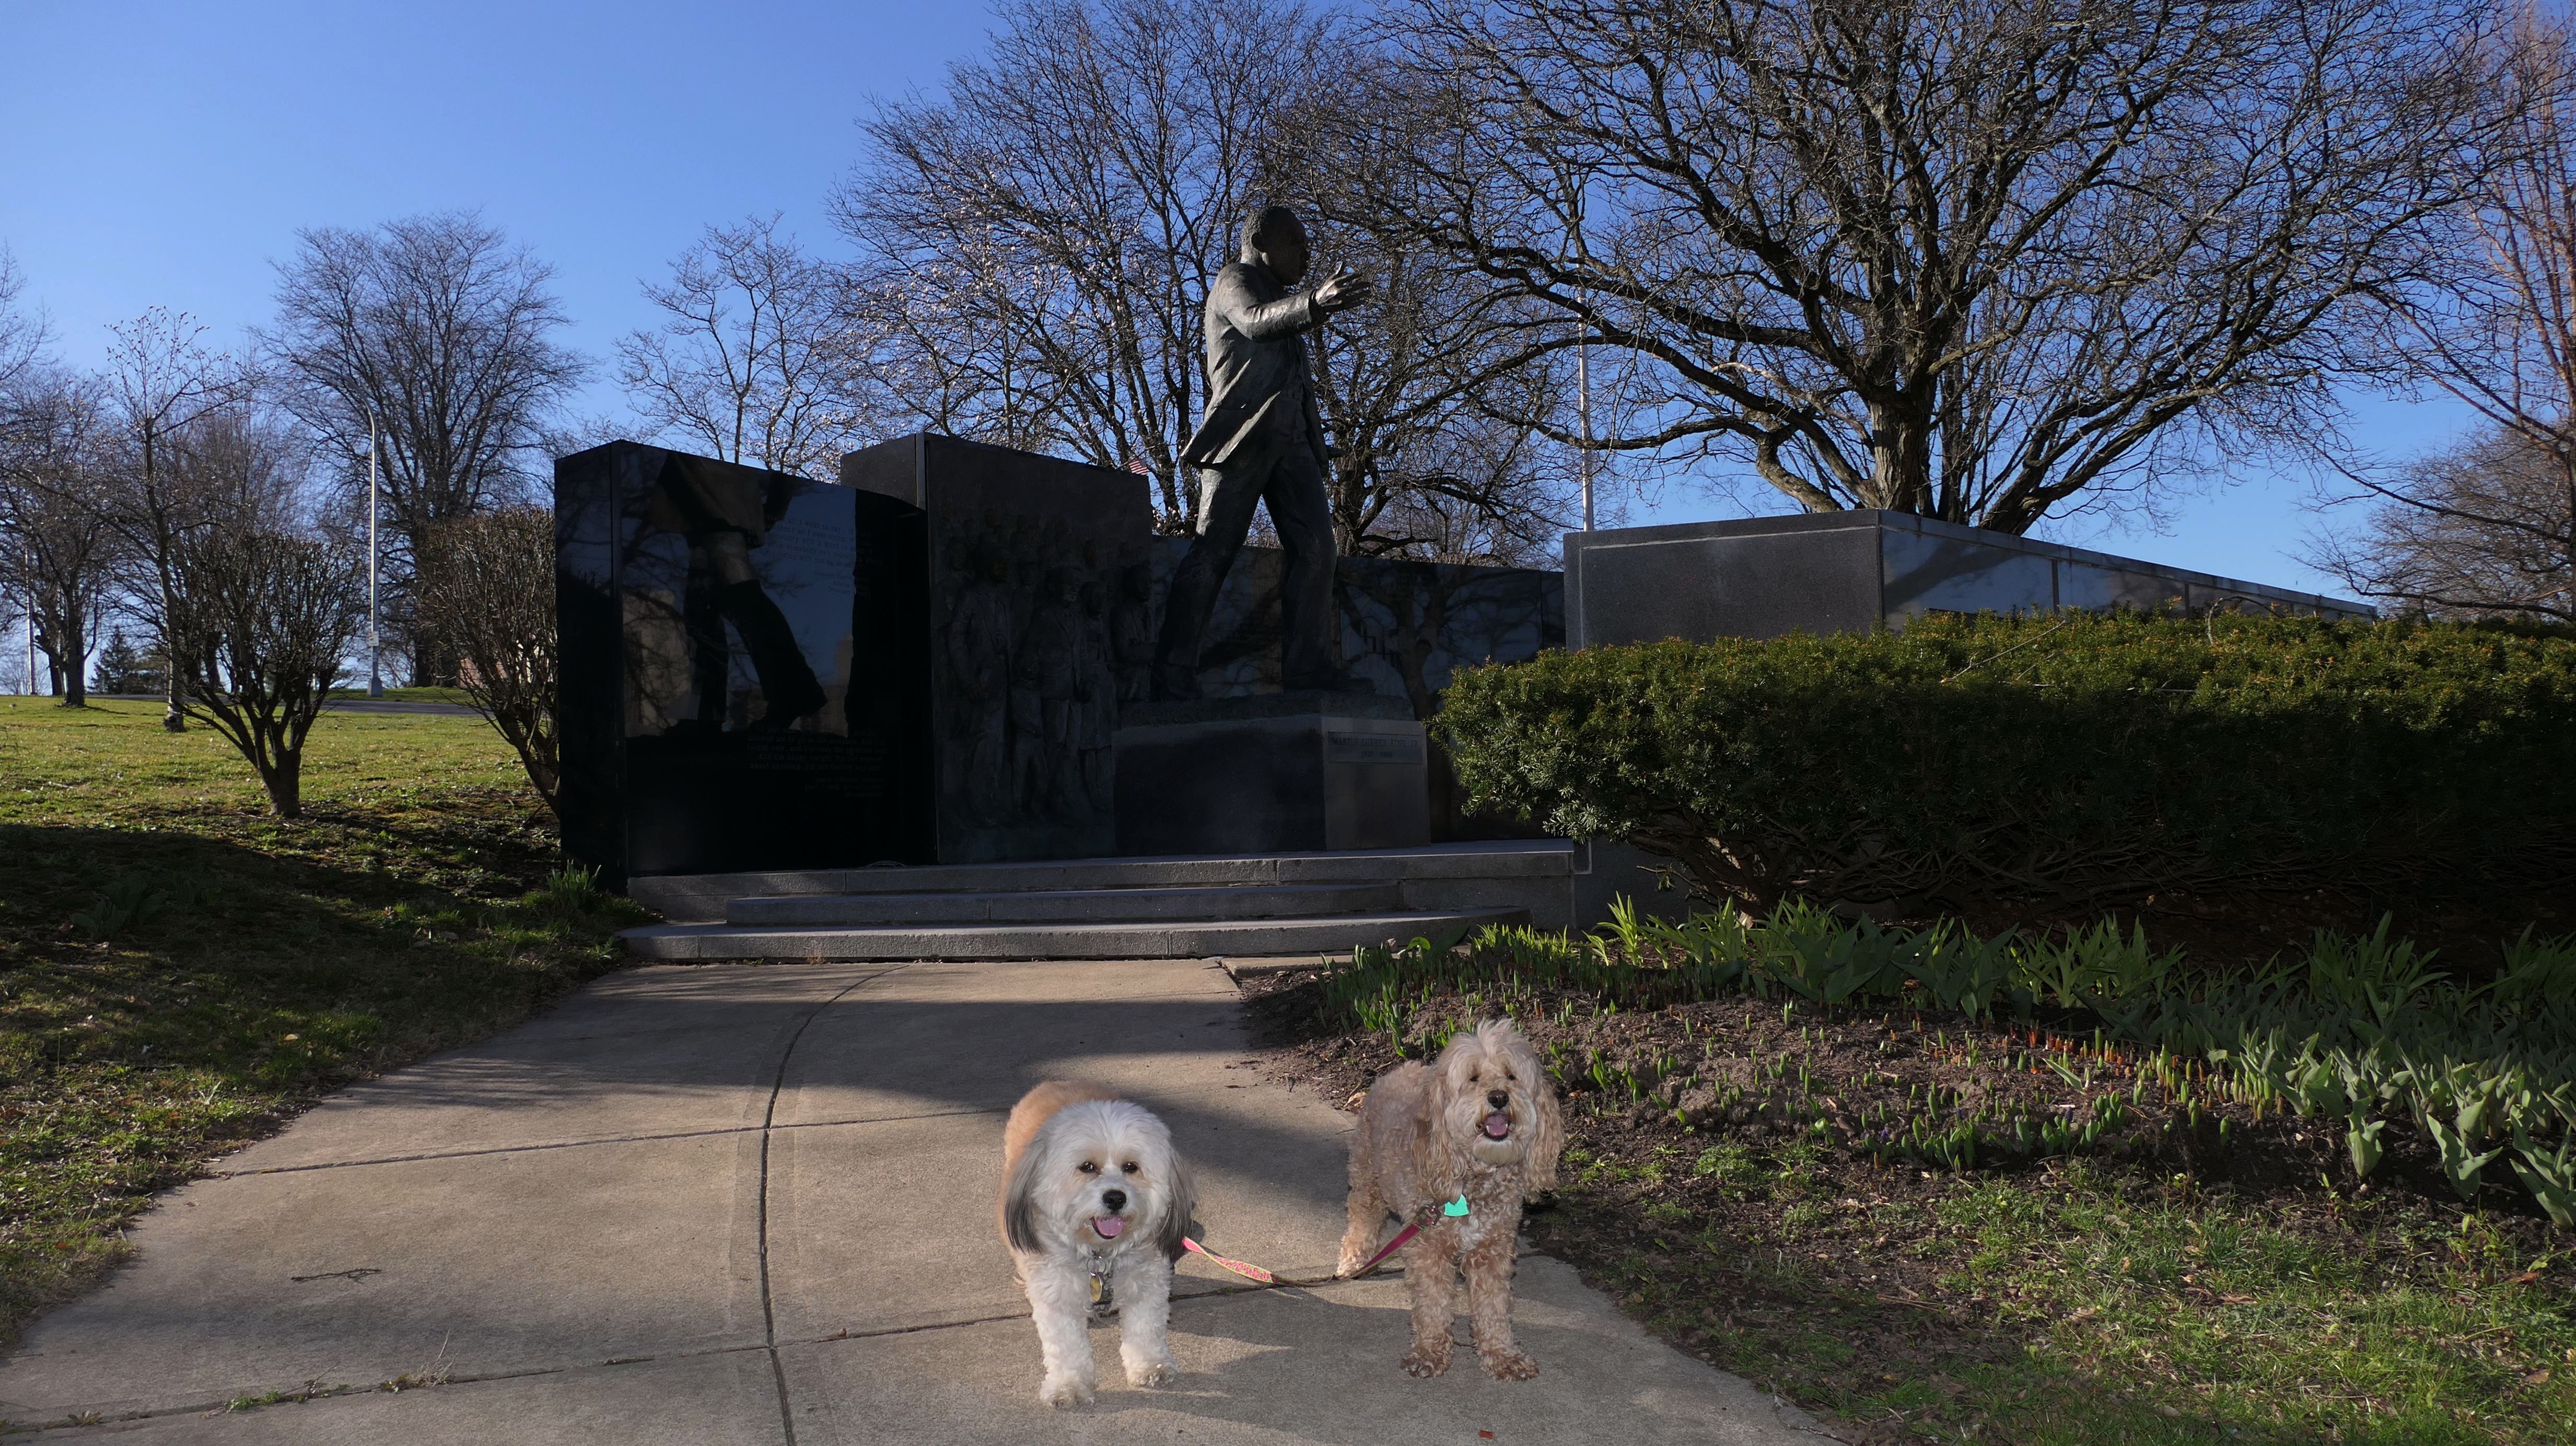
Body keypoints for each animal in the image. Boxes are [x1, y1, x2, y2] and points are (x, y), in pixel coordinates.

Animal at [999, 1081, 1195, 1408]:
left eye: (1131, 1167)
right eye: (1087, 1167)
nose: (1116, 1198)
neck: (1100, 1256)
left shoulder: (1148, 1280)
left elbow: (1145, 1326)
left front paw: (1150, 1365)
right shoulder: (1056, 1292)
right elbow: (1065, 1345)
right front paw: (1068, 1385)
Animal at [1336, 1018, 1564, 1380]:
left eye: (1511, 1075)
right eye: (1473, 1078)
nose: (1499, 1097)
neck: (1473, 1179)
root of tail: (1401, 1067)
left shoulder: (1493, 1250)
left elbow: (1494, 1307)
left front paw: (1501, 1354)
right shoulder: (1428, 1249)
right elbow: (1433, 1304)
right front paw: (1429, 1351)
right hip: (1367, 1179)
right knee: (1362, 1220)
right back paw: (1355, 1261)